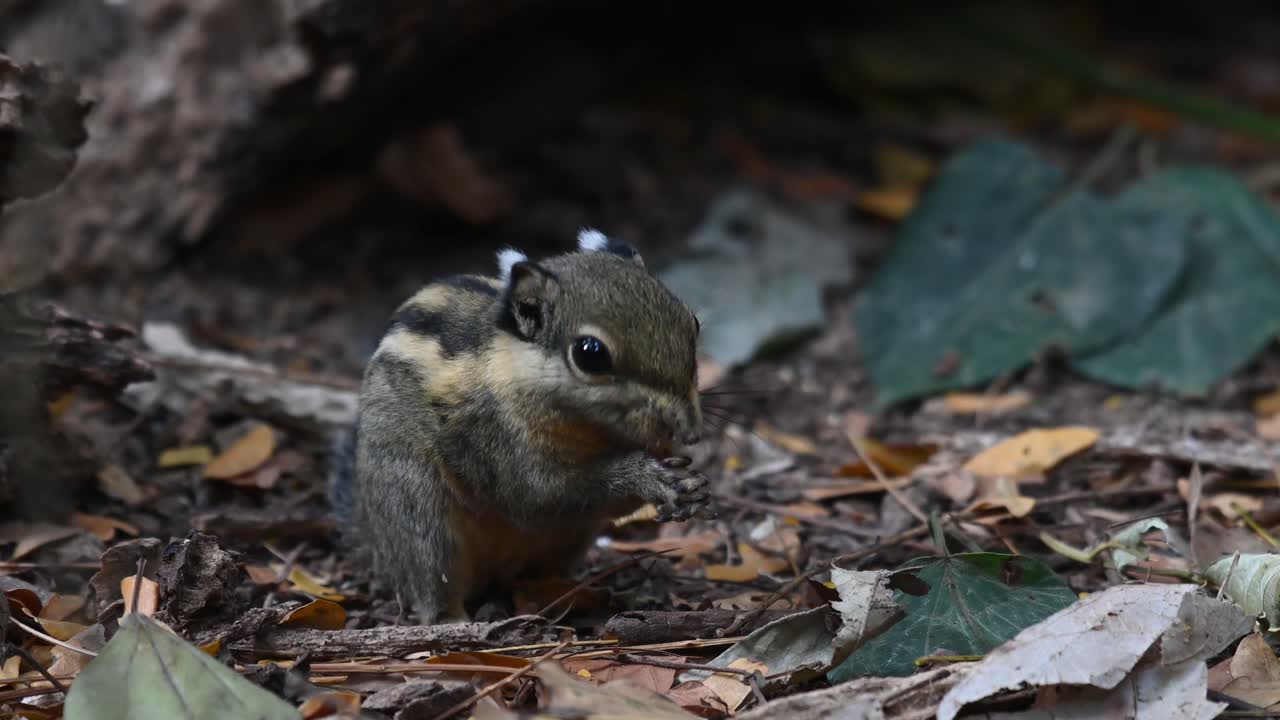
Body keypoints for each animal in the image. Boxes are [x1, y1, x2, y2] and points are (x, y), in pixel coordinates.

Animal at [329, 229, 712, 623]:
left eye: (693, 323)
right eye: (590, 354)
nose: (690, 431)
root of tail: (377, 547)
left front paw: (685, 481)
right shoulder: (494, 441)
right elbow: (538, 496)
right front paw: (649, 477)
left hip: (567, 542)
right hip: (419, 513)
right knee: (431, 584)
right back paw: (453, 619)